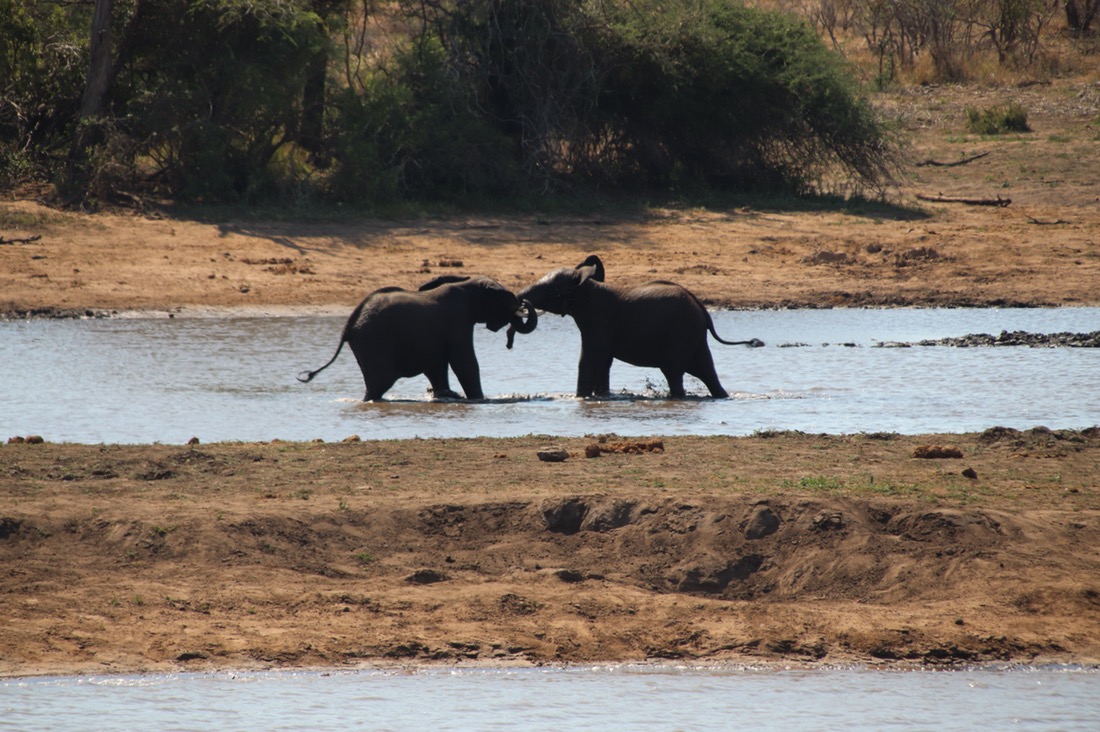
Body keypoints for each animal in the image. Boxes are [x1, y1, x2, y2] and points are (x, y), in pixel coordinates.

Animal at [298, 274, 537, 401]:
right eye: (510, 303)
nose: (525, 303)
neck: (468, 284)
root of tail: (348, 326)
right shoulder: (458, 320)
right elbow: (464, 362)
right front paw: (480, 400)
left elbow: (437, 365)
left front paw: (450, 396)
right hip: (374, 342)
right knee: (381, 381)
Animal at [516, 255, 762, 398]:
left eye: (554, 291)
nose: (522, 302)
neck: (587, 286)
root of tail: (703, 311)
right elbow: (603, 362)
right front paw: (601, 397)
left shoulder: (599, 320)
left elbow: (590, 359)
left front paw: (581, 399)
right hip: (694, 336)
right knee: (707, 371)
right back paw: (722, 396)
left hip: (682, 332)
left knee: (674, 372)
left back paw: (677, 398)